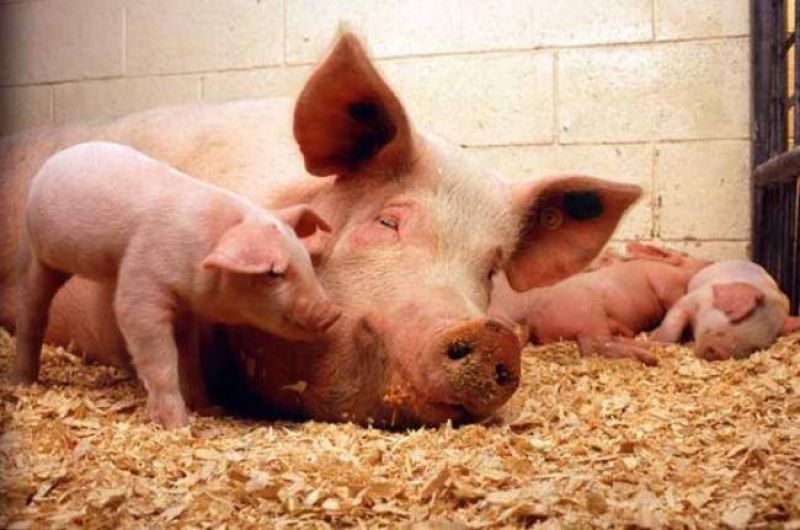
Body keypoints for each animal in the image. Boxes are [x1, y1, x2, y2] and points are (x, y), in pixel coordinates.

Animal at [14, 141, 341, 427]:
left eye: (306, 260)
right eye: (273, 273)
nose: (333, 312)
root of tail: (52, 161)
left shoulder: (185, 308)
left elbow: (189, 358)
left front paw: (209, 408)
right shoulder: (141, 284)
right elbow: (160, 357)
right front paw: (179, 425)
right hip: (42, 255)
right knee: (32, 308)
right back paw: (23, 383)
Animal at [489, 243, 711, 365]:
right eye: (688, 255)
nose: (709, 261)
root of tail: (532, 319)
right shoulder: (666, 283)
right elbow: (672, 302)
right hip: (589, 315)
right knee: (594, 346)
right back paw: (651, 358)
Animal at [651, 260, 800, 360]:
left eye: (755, 347)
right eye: (736, 320)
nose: (721, 353)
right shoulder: (693, 298)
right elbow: (673, 325)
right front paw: (655, 340)